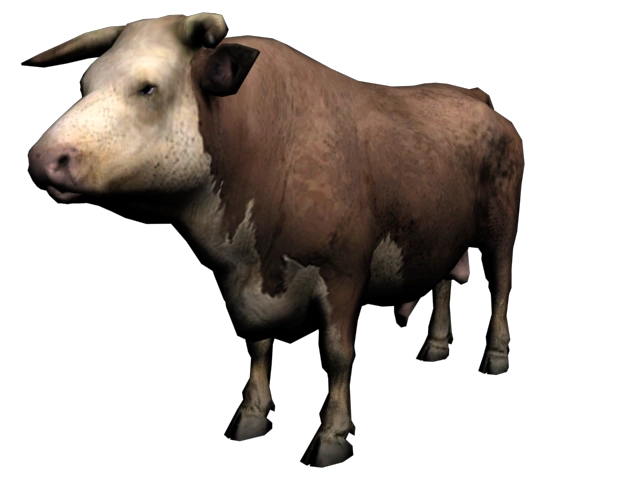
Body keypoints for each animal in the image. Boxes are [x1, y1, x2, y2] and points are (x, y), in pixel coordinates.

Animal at [26, 13, 524, 467]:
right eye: (87, 83)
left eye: (148, 88)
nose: (43, 159)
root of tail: (474, 96)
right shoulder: (252, 276)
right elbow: (258, 344)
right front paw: (252, 414)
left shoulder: (344, 271)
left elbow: (338, 354)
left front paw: (332, 435)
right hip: (441, 229)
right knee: (442, 283)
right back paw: (435, 346)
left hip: (501, 225)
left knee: (500, 284)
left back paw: (497, 355)